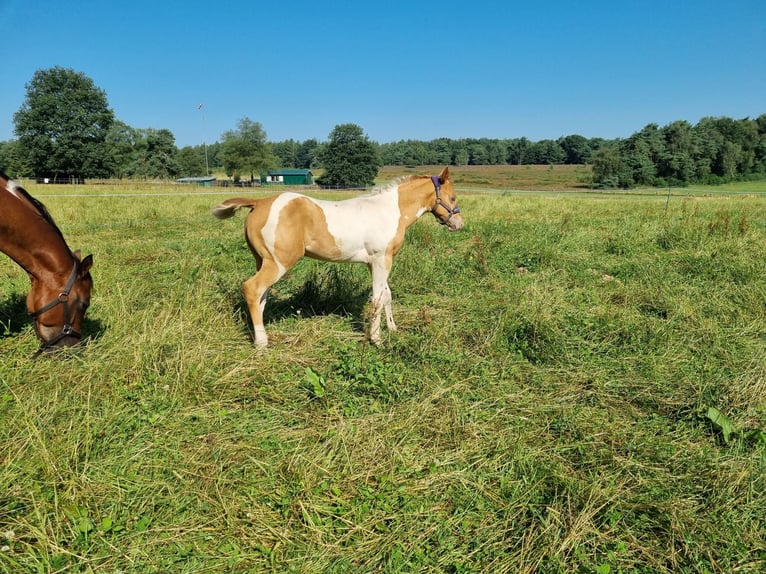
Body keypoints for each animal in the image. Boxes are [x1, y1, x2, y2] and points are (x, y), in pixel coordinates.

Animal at [213, 164, 464, 348]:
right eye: (452, 198)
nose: (459, 224)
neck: (390, 211)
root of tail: (258, 202)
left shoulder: (376, 263)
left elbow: (386, 295)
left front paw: (392, 329)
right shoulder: (381, 260)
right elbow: (378, 298)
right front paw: (377, 340)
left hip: (263, 261)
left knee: (261, 295)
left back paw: (260, 334)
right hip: (279, 263)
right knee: (252, 289)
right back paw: (262, 343)